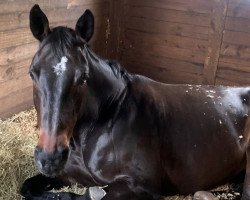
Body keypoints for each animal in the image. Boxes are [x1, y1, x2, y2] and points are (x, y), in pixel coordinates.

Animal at [21, 3, 250, 199]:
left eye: (83, 77)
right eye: (32, 73)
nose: (50, 158)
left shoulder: (140, 186)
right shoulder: (67, 175)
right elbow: (29, 188)